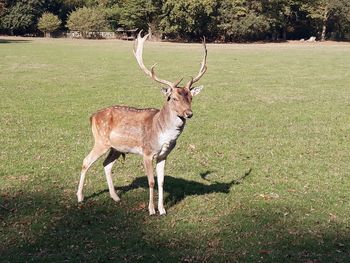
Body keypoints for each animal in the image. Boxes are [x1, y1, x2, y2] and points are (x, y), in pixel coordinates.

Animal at [76, 32, 208, 216]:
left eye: (190, 97)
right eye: (173, 98)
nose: (189, 113)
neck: (162, 133)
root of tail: (92, 116)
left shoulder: (163, 155)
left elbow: (161, 182)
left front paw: (162, 209)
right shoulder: (147, 152)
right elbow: (151, 182)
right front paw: (151, 209)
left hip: (116, 148)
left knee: (106, 165)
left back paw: (115, 197)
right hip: (101, 141)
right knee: (86, 161)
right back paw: (80, 197)